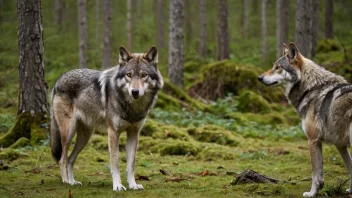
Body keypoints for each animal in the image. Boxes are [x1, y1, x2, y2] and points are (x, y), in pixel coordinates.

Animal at [49, 45, 164, 191]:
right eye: (129, 75)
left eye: (144, 75)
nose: (135, 92)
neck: (132, 107)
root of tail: (59, 79)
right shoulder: (113, 132)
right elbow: (115, 163)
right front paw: (118, 186)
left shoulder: (134, 133)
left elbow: (131, 164)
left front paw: (133, 185)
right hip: (68, 132)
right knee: (62, 159)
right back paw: (66, 181)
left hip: (85, 137)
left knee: (70, 159)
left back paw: (73, 182)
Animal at [258, 42, 352, 197]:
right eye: (273, 66)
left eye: (278, 67)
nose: (259, 77)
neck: (311, 88)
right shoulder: (340, 144)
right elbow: (349, 167)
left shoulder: (313, 140)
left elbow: (316, 175)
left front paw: (312, 193)